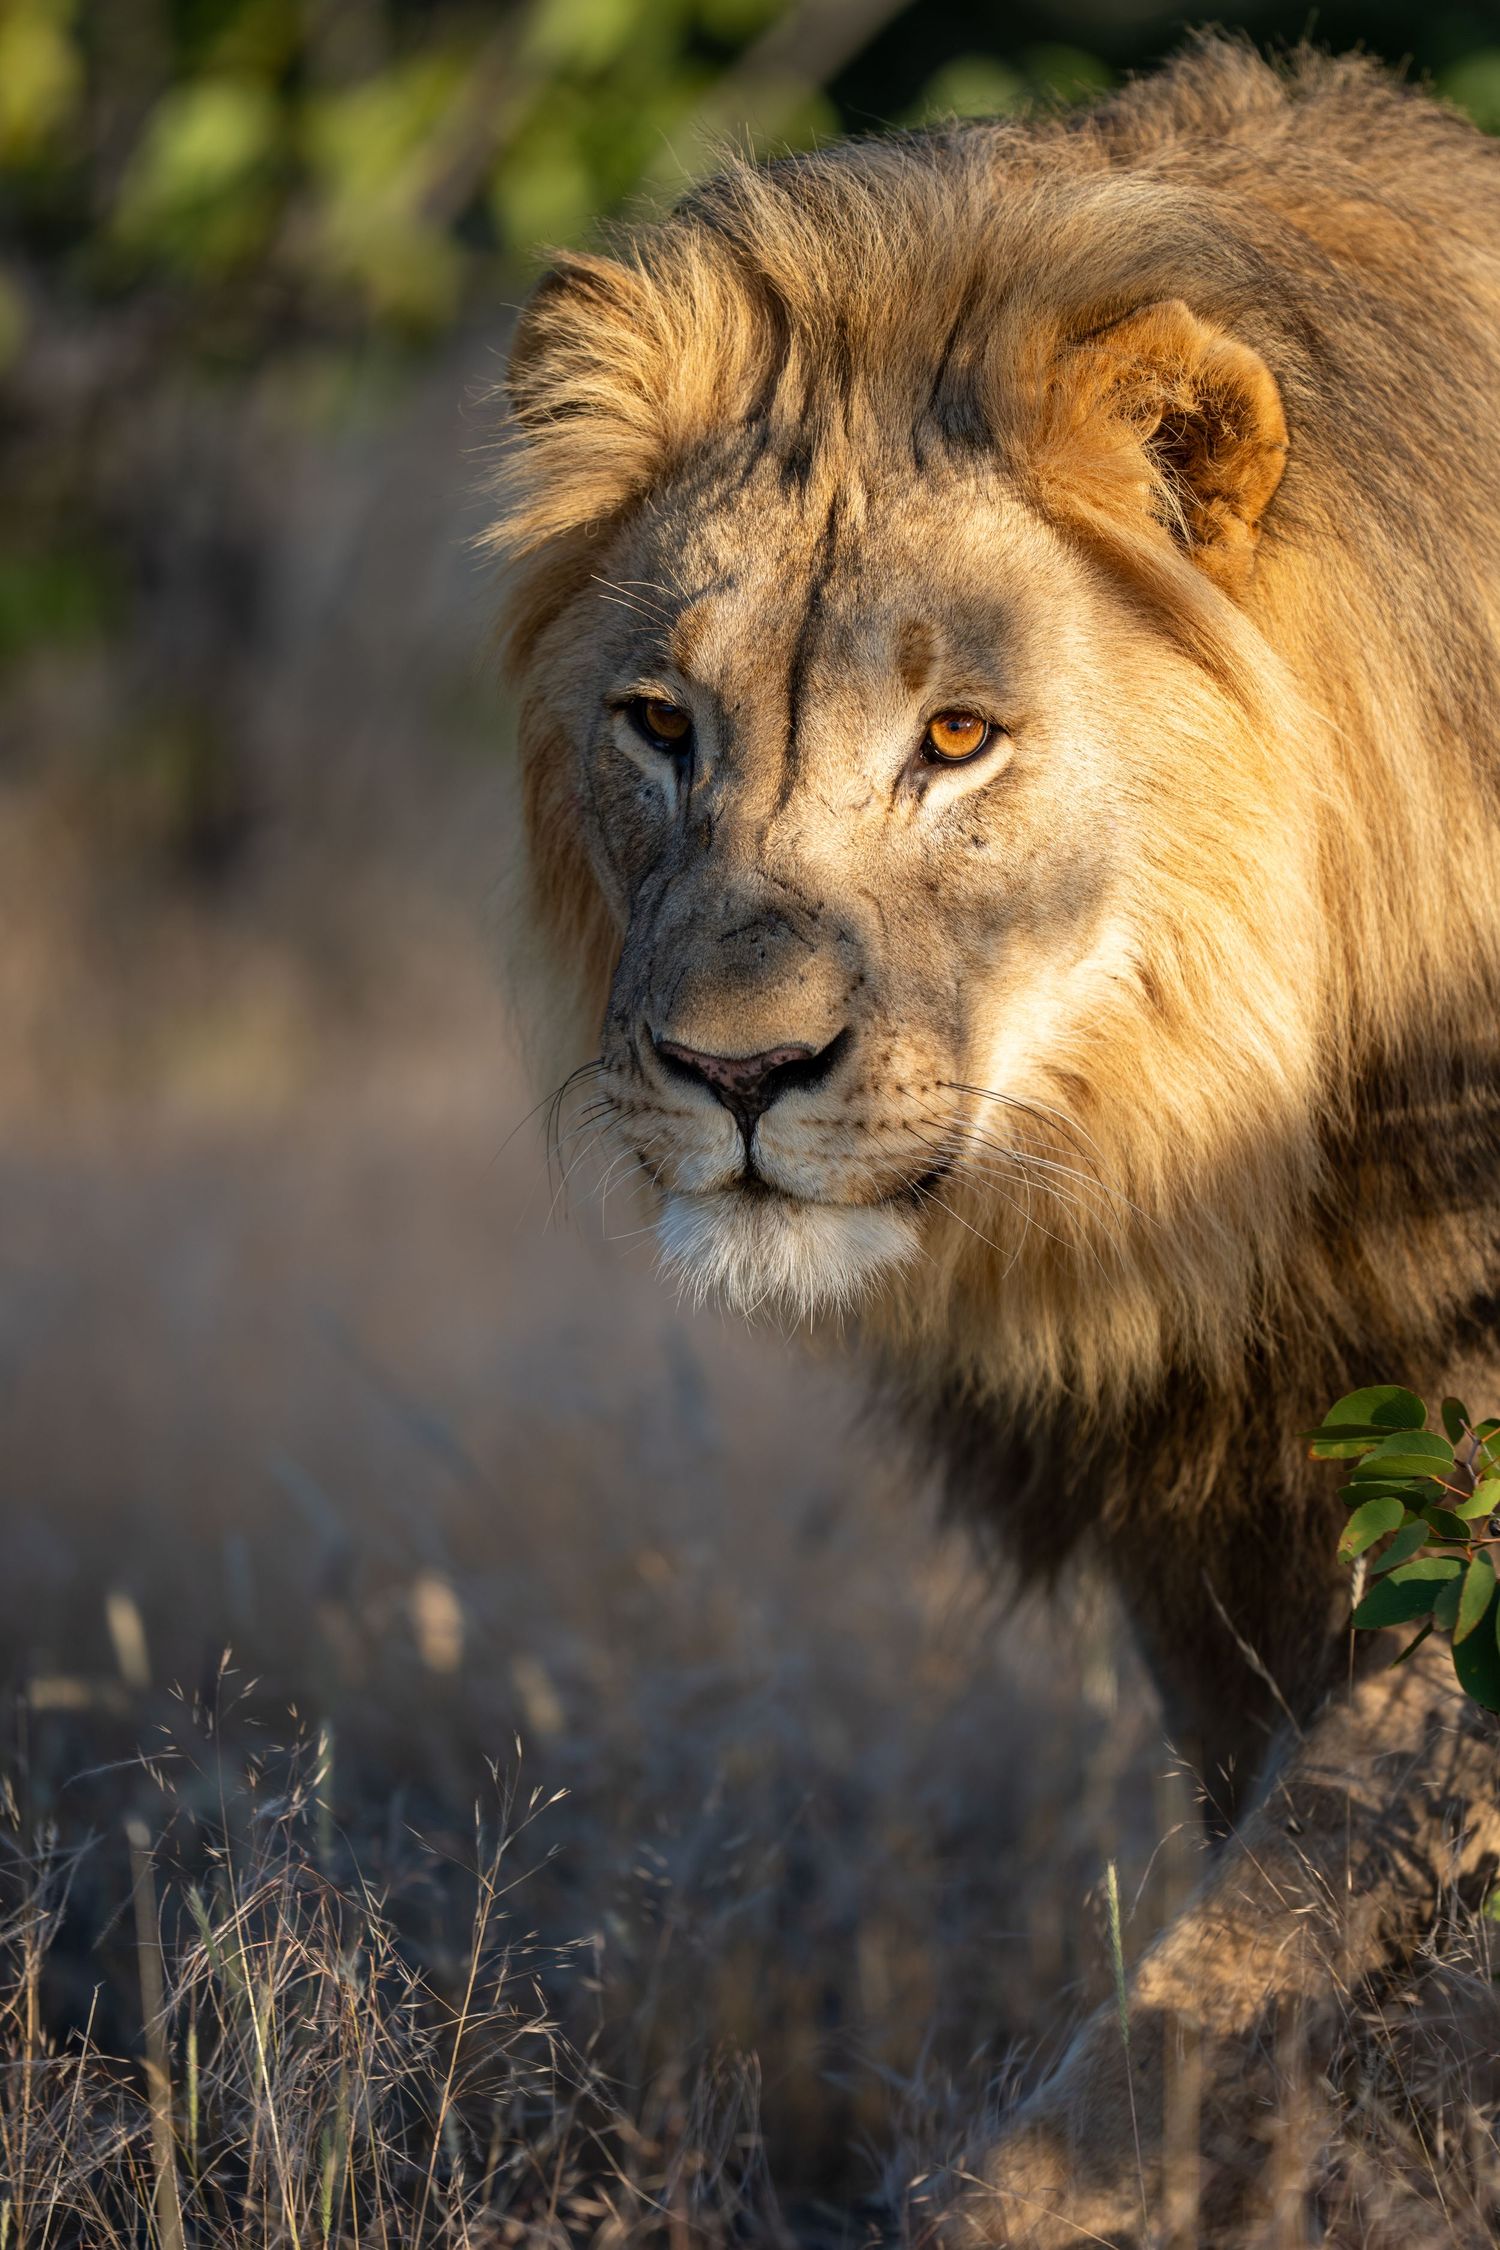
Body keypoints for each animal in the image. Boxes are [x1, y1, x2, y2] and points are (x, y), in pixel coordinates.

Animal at [488, 40, 1500, 2245]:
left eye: (957, 739)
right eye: (660, 726)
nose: (736, 1074)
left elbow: (1263, 1923)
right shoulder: (1206, 1522)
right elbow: (1267, 1885)